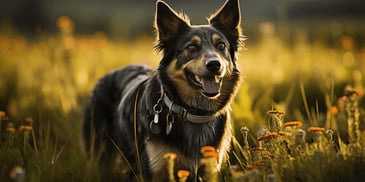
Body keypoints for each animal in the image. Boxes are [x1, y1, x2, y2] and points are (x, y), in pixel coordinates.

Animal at [81, 0, 243, 181]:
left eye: (221, 45)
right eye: (191, 47)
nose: (215, 64)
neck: (193, 113)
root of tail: (108, 74)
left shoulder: (208, 169)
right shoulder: (153, 170)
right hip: (100, 153)